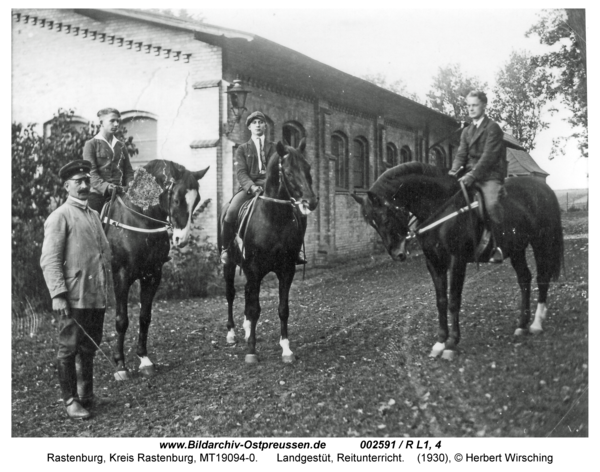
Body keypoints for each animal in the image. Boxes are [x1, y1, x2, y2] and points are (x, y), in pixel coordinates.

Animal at [105, 160, 211, 378]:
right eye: (177, 199)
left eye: (196, 200)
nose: (181, 239)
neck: (140, 220)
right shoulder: (121, 276)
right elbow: (121, 319)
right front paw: (120, 365)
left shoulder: (153, 275)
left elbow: (145, 317)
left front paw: (144, 360)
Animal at [221, 138, 318, 364]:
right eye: (288, 172)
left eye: (308, 167)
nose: (311, 202)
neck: (274, 219)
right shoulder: (255, 269)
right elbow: (255, 309)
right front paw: (251, 351)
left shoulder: (286, 269)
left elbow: (283, 309)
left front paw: (286, 349)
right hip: (229, 264)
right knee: (231, 294)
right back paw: (232, 334)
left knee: (247, 295)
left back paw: (248, 329)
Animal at [352, 160, 564, 360]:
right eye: (373, 224)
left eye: (385, 218)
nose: (397, 254)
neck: (441, 208)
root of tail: (543, 188)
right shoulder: (434, 262)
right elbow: (441, 301)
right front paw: (440, 342)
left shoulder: (457, 260)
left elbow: (454, 300)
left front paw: (452, 344)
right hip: (517, 249)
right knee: (524, 279)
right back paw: (522, 325)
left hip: (541, 242)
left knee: (542, 278)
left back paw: (536, 323)